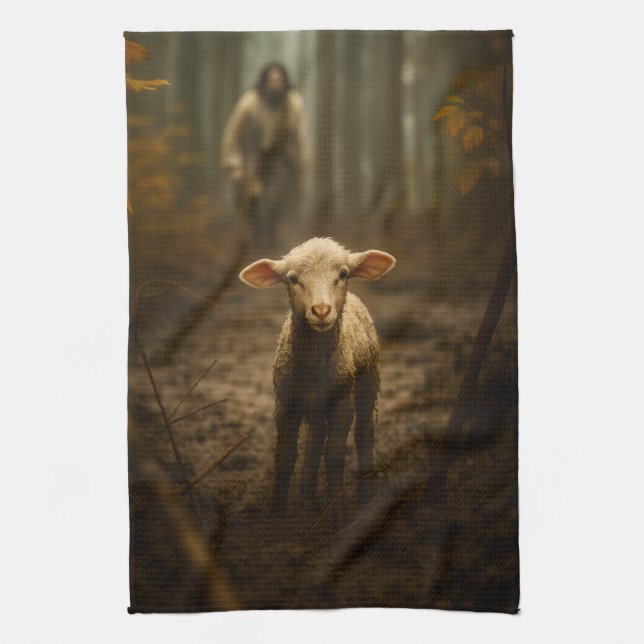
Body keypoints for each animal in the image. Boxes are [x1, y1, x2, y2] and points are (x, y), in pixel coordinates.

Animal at [239, 237, 396, 515]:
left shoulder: (342, 401)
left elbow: (334, 454)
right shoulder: (286, 403)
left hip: (369, 380)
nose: (321, 310)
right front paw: (276, 510)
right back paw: (308, 492)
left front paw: (335, 509)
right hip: (314, 406)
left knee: (364, 432)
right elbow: (285, 456)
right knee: (315, 438)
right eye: (292, 278)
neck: (313, 369)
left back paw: (364, 492)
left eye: (343, 274)